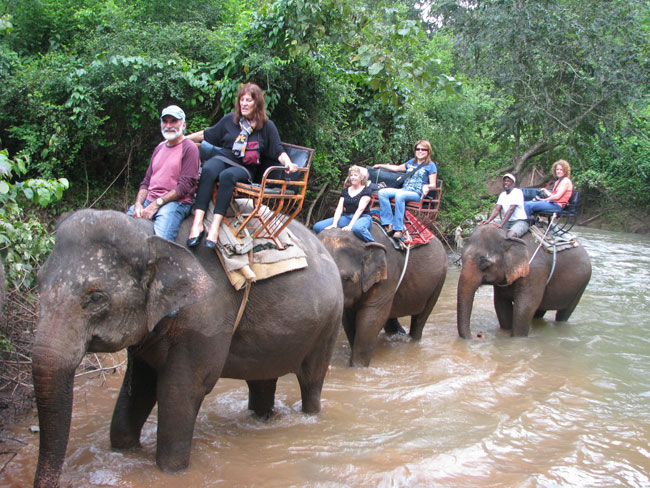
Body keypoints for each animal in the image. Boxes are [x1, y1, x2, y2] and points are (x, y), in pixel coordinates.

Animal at [32, 209, 343, 488]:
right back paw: (262, 420)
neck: (151, 234)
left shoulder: (207, 315)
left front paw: (171, 472)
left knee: (311, 381)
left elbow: (181, 389)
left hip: (328, 323)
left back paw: (309, 415)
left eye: (96, 298)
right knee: (261, 381)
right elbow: (140, 387)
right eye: (38, 281)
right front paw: (124, 450)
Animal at [318, 226, 447, 367]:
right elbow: (349, 319)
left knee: (420, 318)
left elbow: (372, 318)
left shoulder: (388, 274)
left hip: (439, 279)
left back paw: (413, 341)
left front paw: (358, 367)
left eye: (345, 278)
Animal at [457, 224, 591, 338]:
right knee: (540, 311)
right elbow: (501, 303)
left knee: (564, 313)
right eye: (461, 258)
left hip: (581, 285)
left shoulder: (535, 272)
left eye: (484, 263)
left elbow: (525, 306)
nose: (477, 336)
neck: (507, 237)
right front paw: (505, 332)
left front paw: (517, 339)